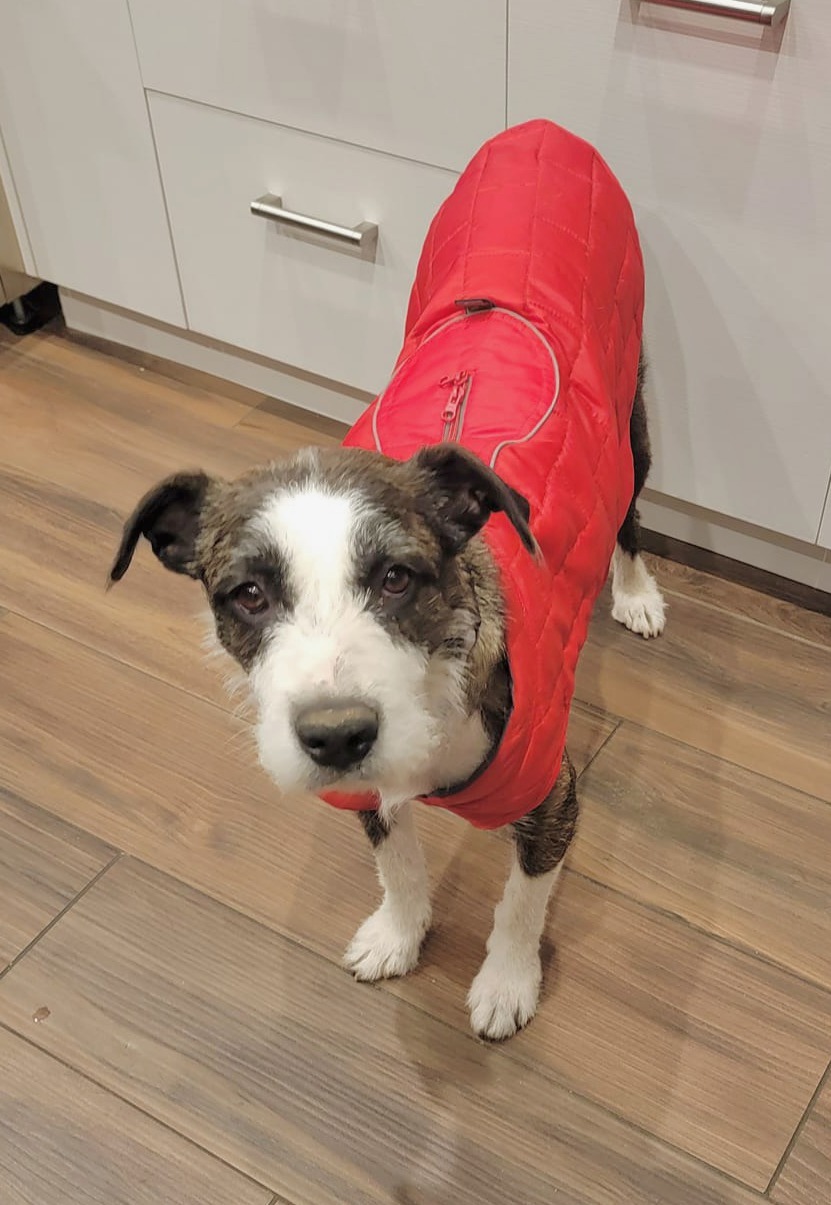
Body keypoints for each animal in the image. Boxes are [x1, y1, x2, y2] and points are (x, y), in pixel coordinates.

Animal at [111, 124, 664, 1045]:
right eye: (248, 595)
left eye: (399, 577)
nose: (336, 734)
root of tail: (540, 133)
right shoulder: (365, 792)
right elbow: (398, 861)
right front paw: (399, 933)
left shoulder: (551, 796)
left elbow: (520, 900)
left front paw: (505, 980)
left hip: (630, 411)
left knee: (629, 511)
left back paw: (632, 591)